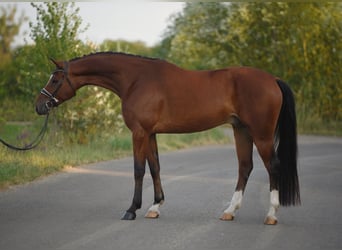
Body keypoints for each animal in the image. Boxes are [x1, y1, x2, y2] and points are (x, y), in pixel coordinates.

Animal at [36, 52, 300, 225]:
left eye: (55, 79)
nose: (39, 106)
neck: (136, 79)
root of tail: (273, 79)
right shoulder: (150, 133)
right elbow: (155, 168)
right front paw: (155, 206)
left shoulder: (139, 132)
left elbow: (138, 170)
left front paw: (132, 210)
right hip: (241, 130)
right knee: (245, 167)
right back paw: (230, 211)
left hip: (261, 135)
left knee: (272, 166)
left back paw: (271, 215)